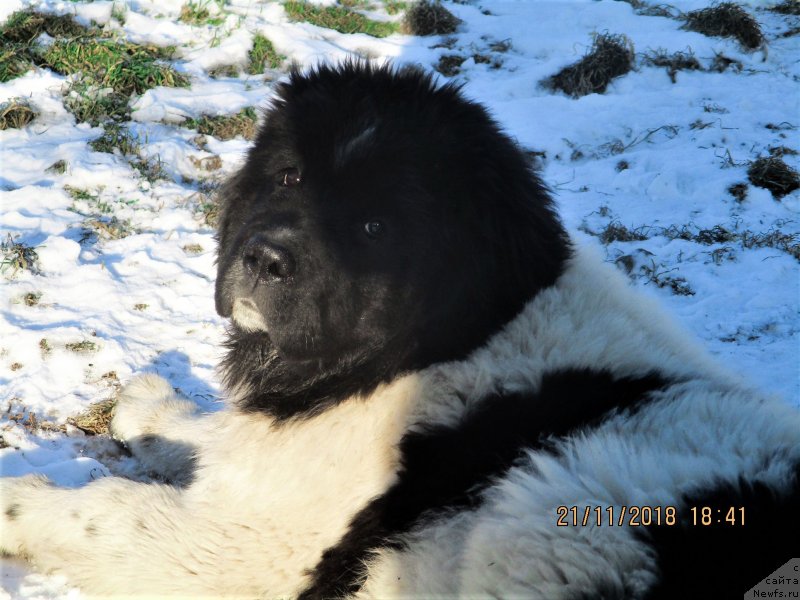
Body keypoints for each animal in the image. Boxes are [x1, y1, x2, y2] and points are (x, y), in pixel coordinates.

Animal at [1, 62, 800, 600]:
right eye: (288, 178)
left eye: (374, 227)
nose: (262, 257)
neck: (455, 341)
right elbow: (217, 437)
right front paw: (155, 407)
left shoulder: (249, 554)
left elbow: (110, 513)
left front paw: (19, 502)